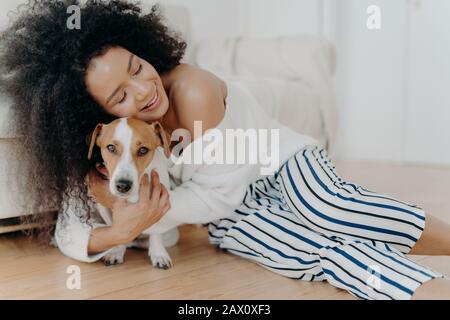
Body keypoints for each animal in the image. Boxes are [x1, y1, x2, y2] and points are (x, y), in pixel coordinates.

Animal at [86, 116, 174, 268]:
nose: (123, 185)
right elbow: (117, 230)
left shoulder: (159, 201)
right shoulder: (103, 207)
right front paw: (117, 251)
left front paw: (159, 254)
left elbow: (156, 231)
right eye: (111, 147)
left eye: (143, 150)